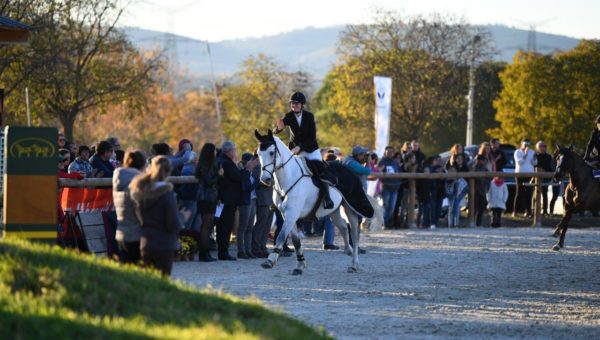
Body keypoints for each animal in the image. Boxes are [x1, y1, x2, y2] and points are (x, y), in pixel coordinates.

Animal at [253, 130, 360, 274]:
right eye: (258, 154)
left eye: (271, 152)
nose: (265, 179)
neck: (287, 179)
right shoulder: (286, 215)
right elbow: (295, 240)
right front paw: (300, 265)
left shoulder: (292, 214)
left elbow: (281, 236)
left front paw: (270, 261)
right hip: (334, 211)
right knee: (343, 226)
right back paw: (348, 250)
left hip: (350, 207)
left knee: (354, 232)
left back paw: (354, 264)